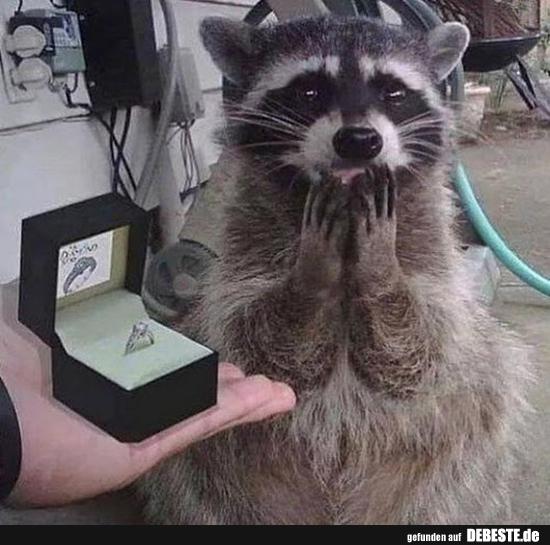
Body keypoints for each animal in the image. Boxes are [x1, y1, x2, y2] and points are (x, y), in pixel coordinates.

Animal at [139, 16, 533, 524]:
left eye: (393, 91)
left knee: (493, 381)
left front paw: (381, 272)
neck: (347, 217)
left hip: (449, 476)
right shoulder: (246, 251)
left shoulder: (431, 251)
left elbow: (424, 350)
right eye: (309, 91)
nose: (359, 141)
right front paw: (312, 277)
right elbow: (260, 346)